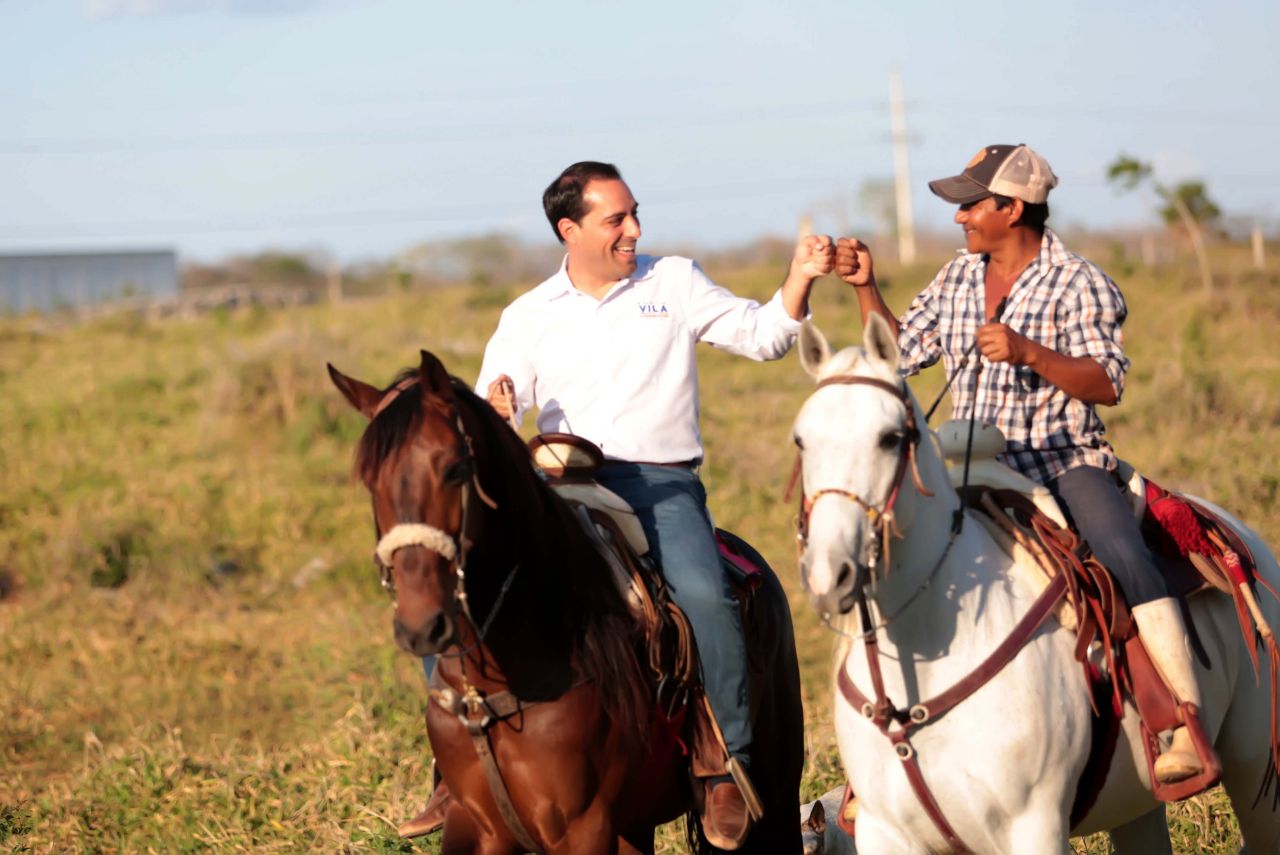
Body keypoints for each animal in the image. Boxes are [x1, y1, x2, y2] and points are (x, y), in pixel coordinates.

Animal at [332, 350, 808, 849]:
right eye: (370, 481)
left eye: (455, 470)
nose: (421, 626)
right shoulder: (475, 825)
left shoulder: (583, 827)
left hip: (777, 788)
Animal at [788, 316, 1280, 855]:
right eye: (802, 441)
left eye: (890, 438)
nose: (828, 573)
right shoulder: (882, 833)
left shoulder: (1034, 825)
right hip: (1138, 803)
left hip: (1258, 774)